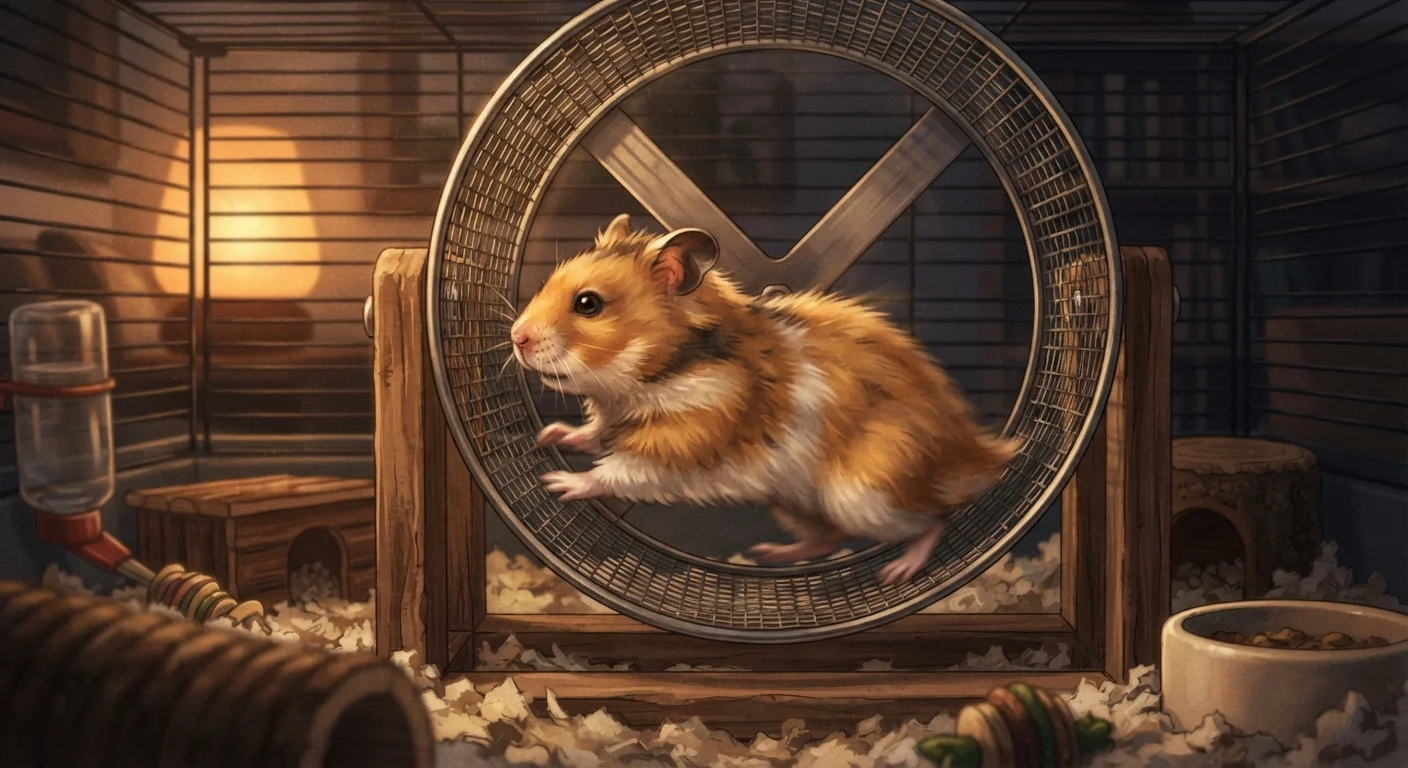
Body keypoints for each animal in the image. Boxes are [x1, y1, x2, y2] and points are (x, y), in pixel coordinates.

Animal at [509, 213, 1022, 586]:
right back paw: (770, 555)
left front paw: (558, 482)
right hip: (795, 504)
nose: (516, 337)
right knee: (830, 538)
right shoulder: (613, 417)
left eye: (588, 304)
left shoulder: (683, 446)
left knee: (934, 519)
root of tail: (980, 453)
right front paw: (550, 435)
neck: (652, 375)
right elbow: (593, 434)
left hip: (867, 493)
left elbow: (617, 472)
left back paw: (898, 570)